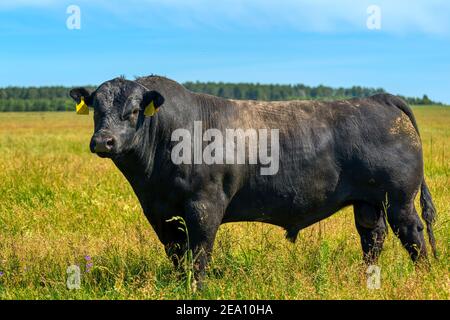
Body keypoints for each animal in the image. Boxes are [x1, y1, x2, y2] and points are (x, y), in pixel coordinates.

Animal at [69, 76, 436, 286]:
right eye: (96, 109)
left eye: (133, 111)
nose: (103, 141)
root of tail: (379, 98)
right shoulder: (160, 213)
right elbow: (176, 255)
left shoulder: (204, 206)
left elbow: (198, 255)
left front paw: (196, 289)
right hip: (368, 202)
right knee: (372, 237)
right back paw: (365, 279)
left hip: (399, 199)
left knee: (413, 235)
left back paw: (424, 278)